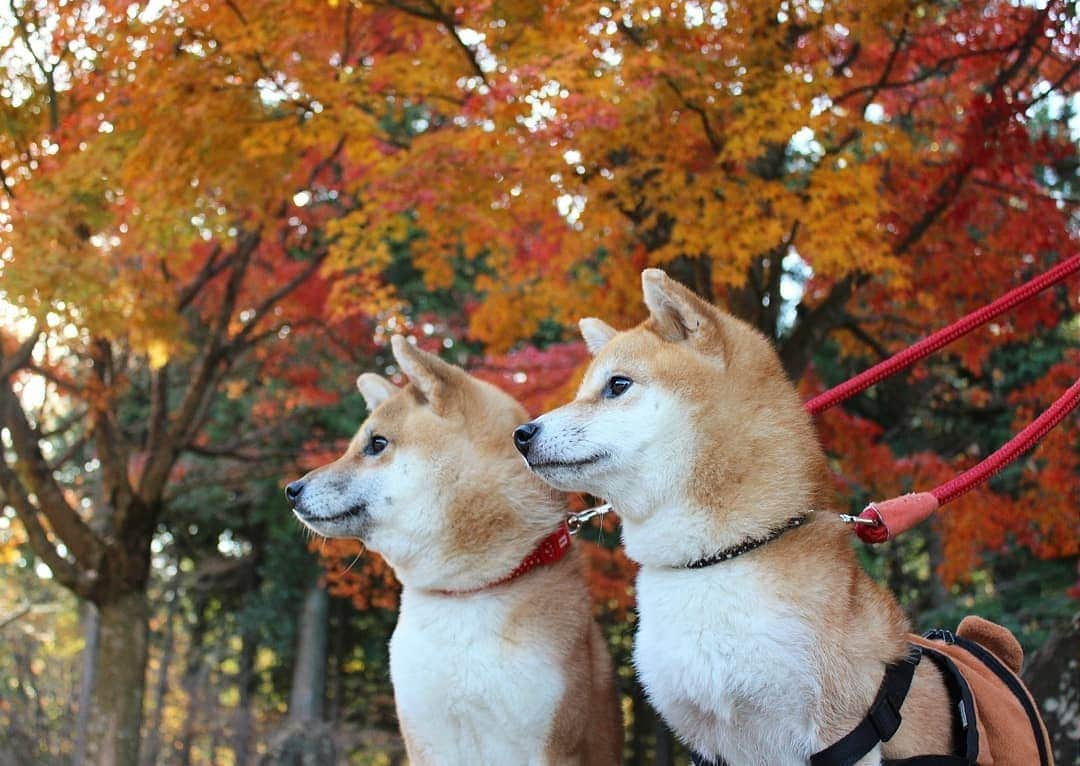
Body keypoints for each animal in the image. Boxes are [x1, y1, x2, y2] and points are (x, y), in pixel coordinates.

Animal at [287, 337, 622, 764]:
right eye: (352, 447)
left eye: (377, 444)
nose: (292, 489)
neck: (465, 592)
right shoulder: (426, 738)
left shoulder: (552, 745)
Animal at [518, 265, 1049, 760]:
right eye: (583, 390)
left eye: (618, 385)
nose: (522, 434)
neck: (718, 558)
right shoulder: (708, 744)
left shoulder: (841, 736)